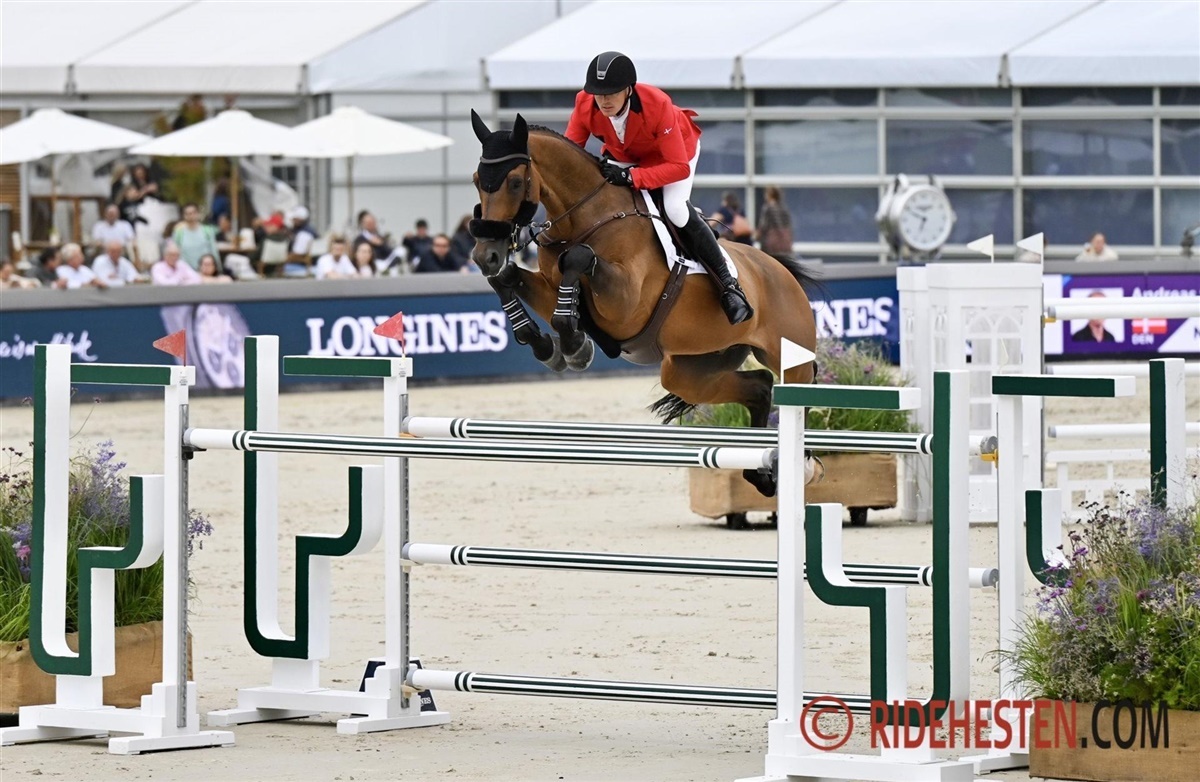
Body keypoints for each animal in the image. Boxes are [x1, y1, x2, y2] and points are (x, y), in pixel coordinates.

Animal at [468, 111, 817, 496]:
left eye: (515, 182)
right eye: (476, 181)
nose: (485, 255)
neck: (585, 218)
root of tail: (780, 271)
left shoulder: (624, 302)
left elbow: (577, 258)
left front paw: (573, 345)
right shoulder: (550, 290)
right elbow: (508, 280)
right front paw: (548, 345)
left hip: (787, 354)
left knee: (799, 391)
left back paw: (798, 465)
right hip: (688, 370)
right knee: (759, 387)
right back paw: (761, 473)